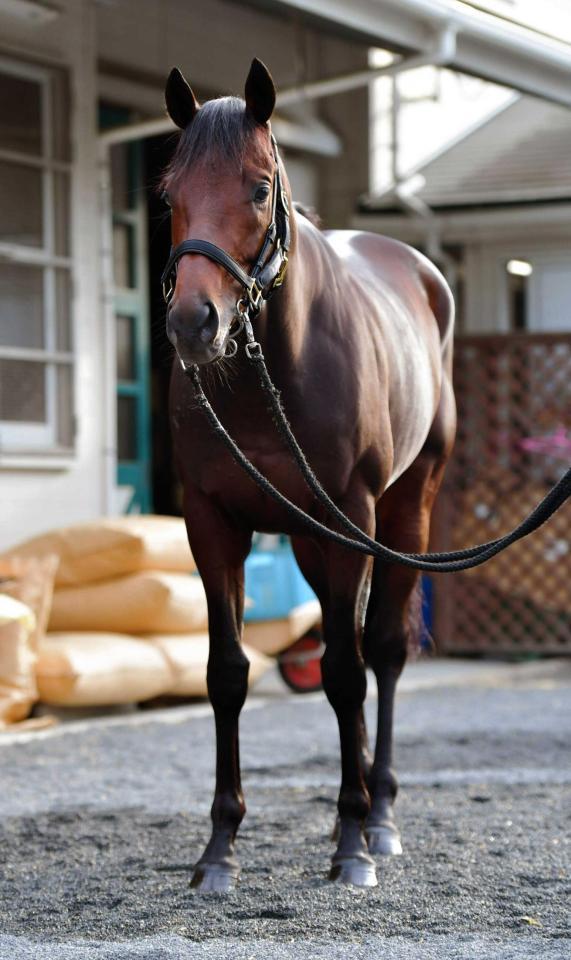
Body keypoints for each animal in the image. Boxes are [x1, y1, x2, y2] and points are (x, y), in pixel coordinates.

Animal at [160, 58, 456, 891]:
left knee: (378, 651)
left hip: (402, 513)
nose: (193, 323)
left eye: (260, 187)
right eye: (166, 191)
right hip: (307, 538)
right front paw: (219, 848)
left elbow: (348, 671)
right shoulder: (212, 522)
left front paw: (352, 842)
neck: (269, 375)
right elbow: (228, 673)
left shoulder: (352, 518)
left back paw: (376, 814)